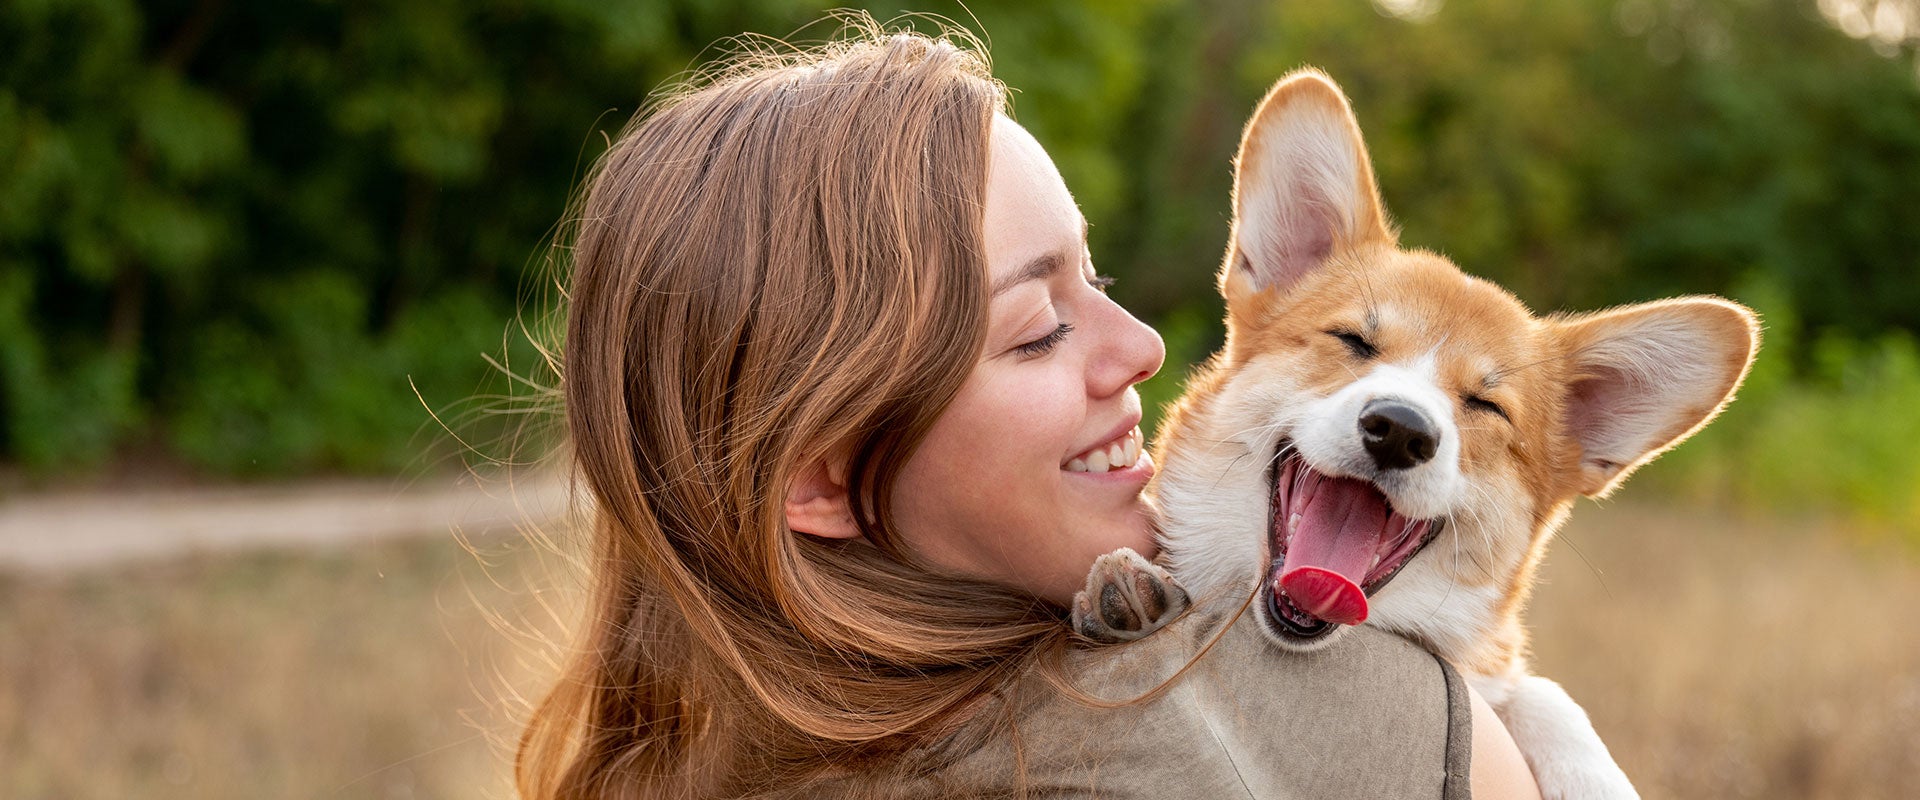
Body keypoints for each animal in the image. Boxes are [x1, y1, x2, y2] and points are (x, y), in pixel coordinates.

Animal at [1075, 70, 1758, 798]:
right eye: (1353, 340)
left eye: (1486, 405)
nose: (1399, 431)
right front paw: (1128, 593)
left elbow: (1542, 693)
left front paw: (1593, 777)